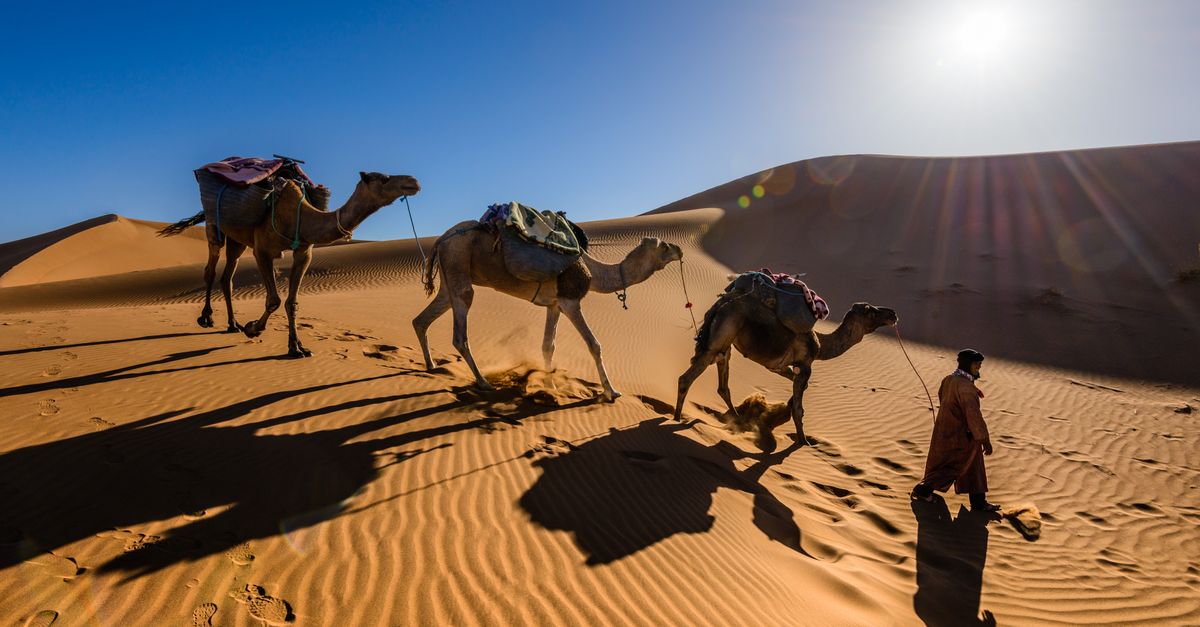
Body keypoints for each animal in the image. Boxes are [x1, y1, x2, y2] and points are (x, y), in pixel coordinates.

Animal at [160, 172, 420, 357]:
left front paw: (296, 347)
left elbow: (292, 302)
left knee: (227, 277)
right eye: (384, 178)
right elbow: (273, 299)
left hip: (237, 240)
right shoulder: (262, 250)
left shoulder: (304, 252)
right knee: (211, 270)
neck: (299, 216)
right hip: (215, 226)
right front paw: (253, 328)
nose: (413, 181)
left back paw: (233, 324)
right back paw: (207, 318)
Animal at [414, 221, 683, 401]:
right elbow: (594, 344)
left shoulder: (554, 305)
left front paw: (550, 386)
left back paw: (431, 366)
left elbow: (547, 345)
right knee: (460, 330)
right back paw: (483, 382)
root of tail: (441, 240)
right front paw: (611, 392)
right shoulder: (570, 301)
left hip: (449, 278)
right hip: (458, 261)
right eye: (663, 246)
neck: (593, 271)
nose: (679, 249)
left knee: (422, 319)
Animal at [673, 283, 897, 444]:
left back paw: (737, 419)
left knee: (723, 382)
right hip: (721, 336)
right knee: (687, 378)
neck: (820, 345)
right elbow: (799, 408)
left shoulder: (780, 366)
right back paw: (676, 418)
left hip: (725, 342)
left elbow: (797, 385)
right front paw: (803, 441)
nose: (893, 314)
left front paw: (784, 410)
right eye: (869, 310)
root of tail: (721, 305)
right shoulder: (806, 365)